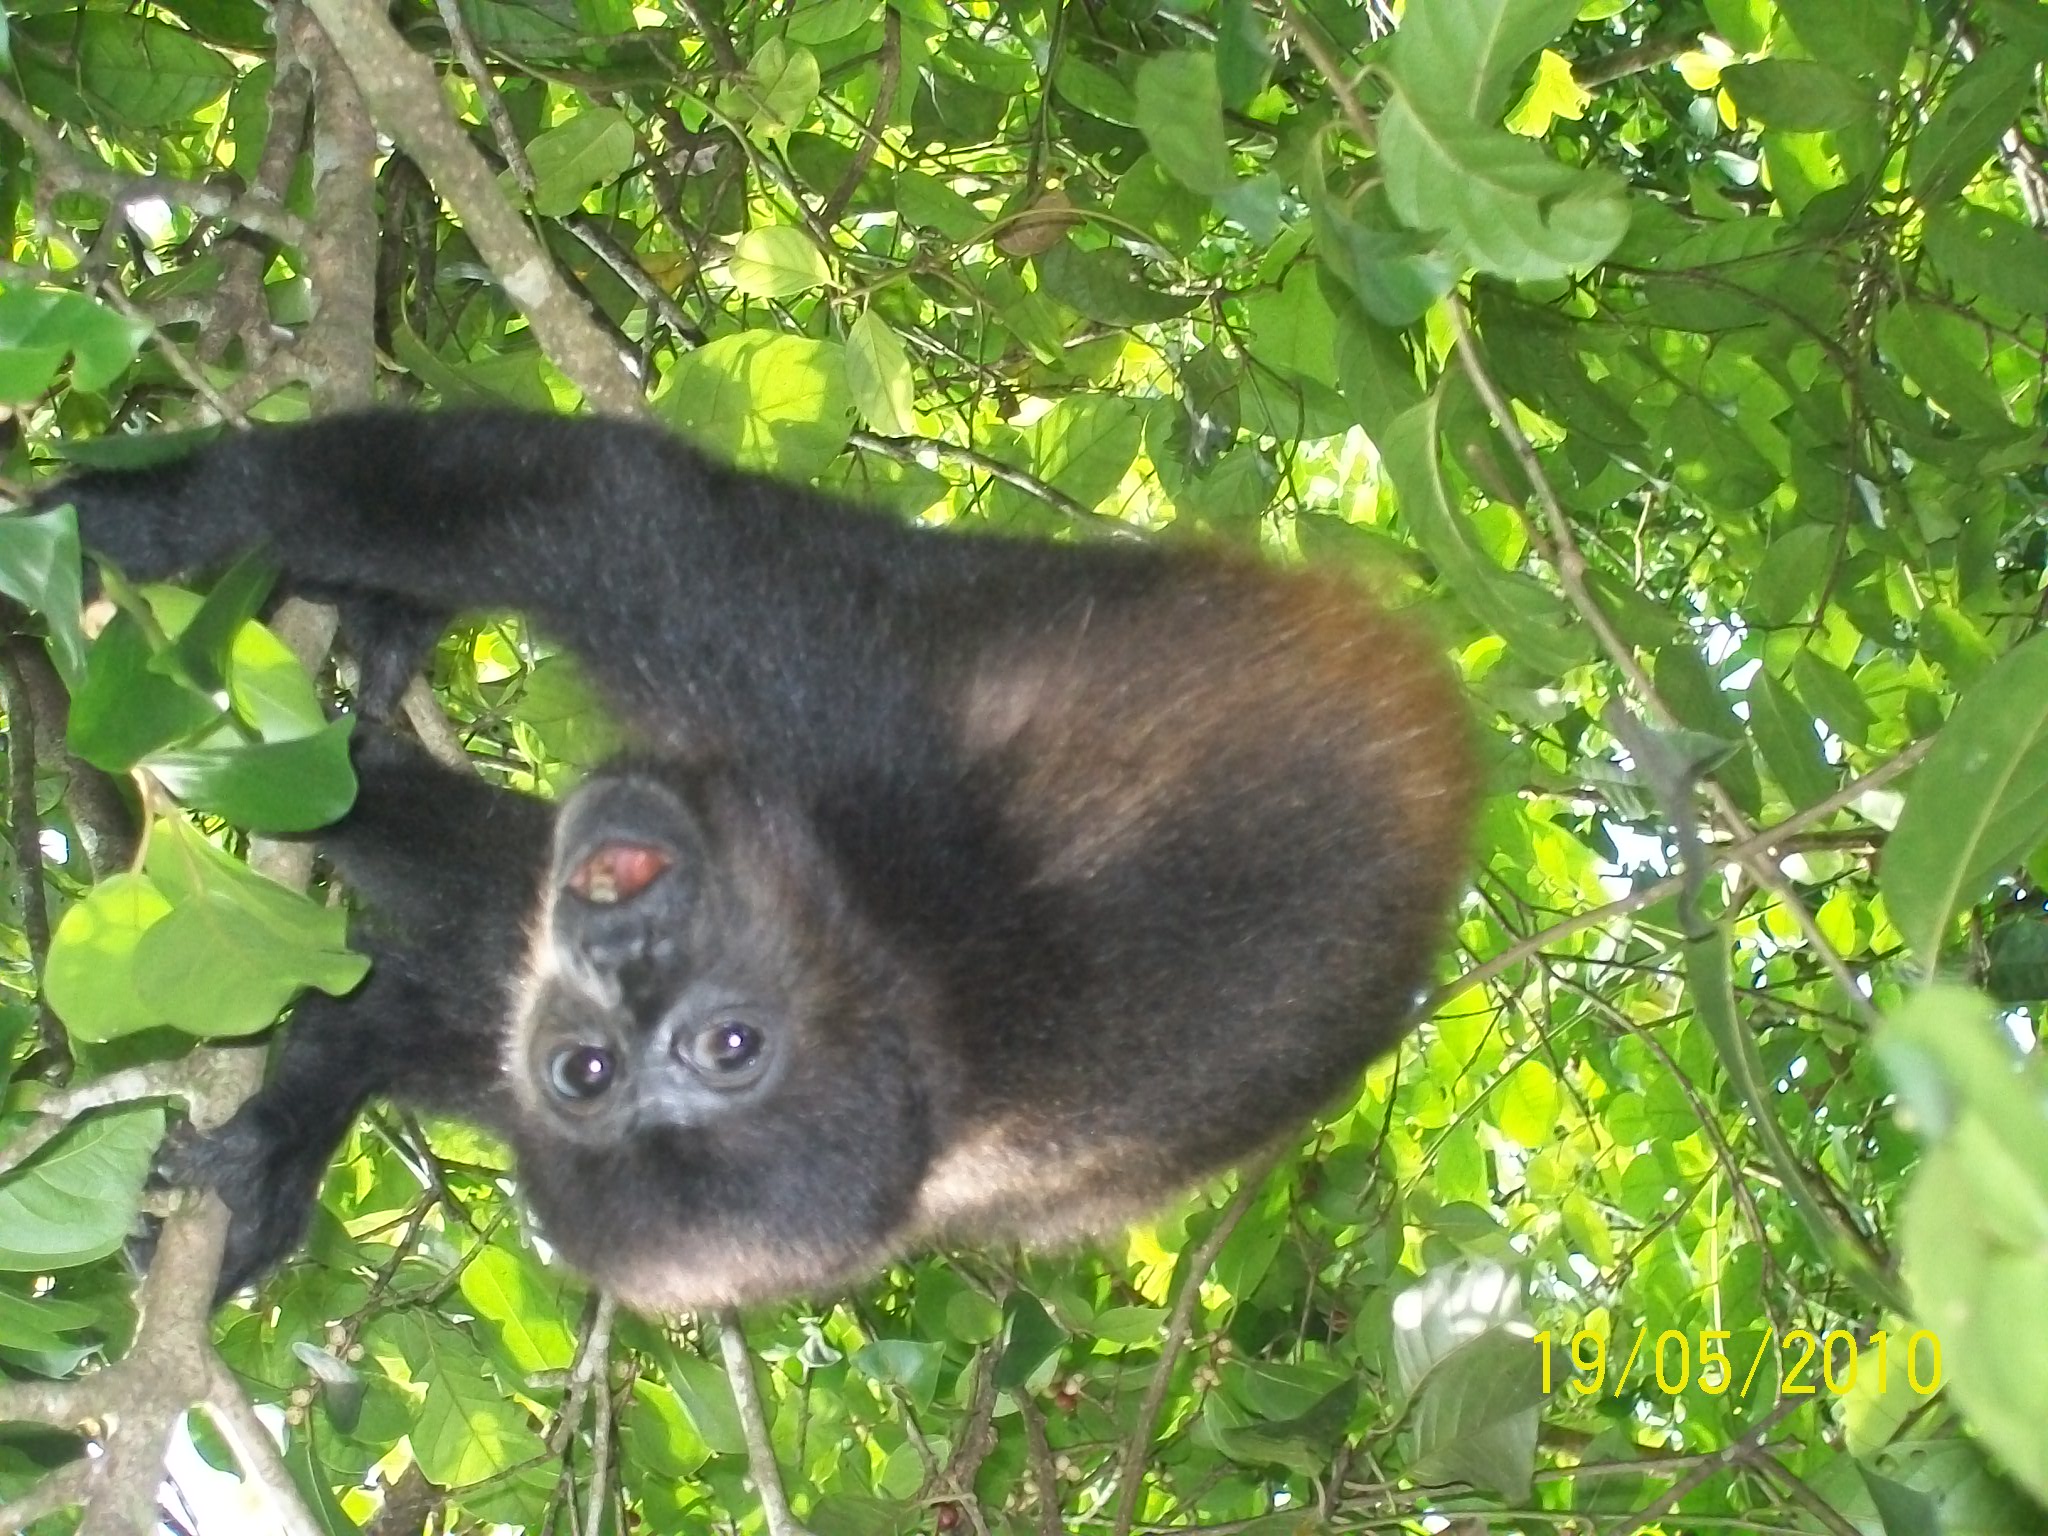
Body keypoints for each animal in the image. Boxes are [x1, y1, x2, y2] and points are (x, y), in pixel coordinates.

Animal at [32, 415, 1474, 1318]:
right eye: (596, 1066)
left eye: (719, 1051)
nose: (614, 958)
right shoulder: (861, 739)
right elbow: (581, 502)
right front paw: (137, 522)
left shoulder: (832, 740)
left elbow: (605, 517)